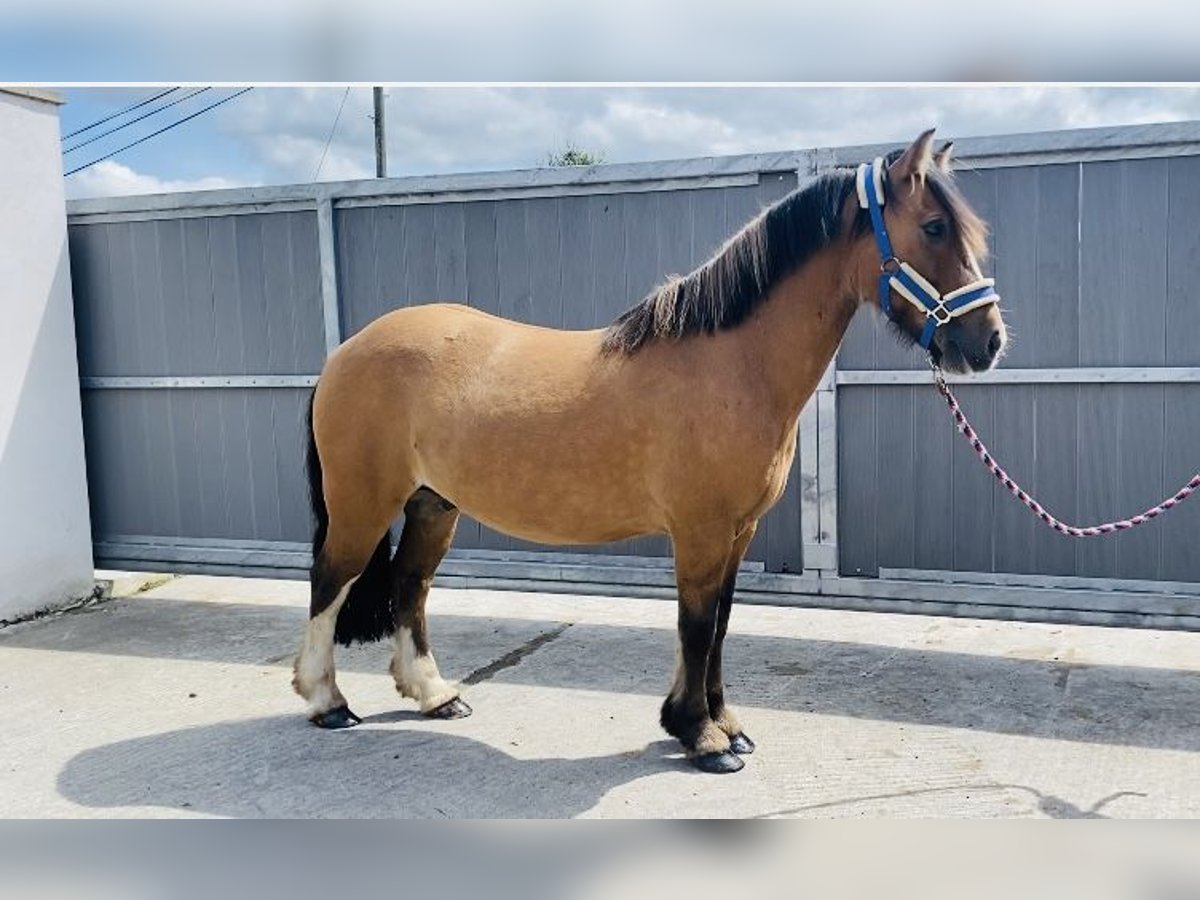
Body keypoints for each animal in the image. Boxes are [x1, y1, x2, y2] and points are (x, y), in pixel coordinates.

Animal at [295, 130, 1008, 777]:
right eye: (935, 227)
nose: (989, 342)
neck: (731, 364)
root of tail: (345, 353)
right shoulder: (699, 531)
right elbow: (696, 626)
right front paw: (702, 737)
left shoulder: (738, 532)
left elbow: (720, 624)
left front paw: (721, 723)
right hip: (363, 505)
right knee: (331, 582)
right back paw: (327, 702)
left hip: (432, 505)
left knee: (410, 587)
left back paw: (434, 695)